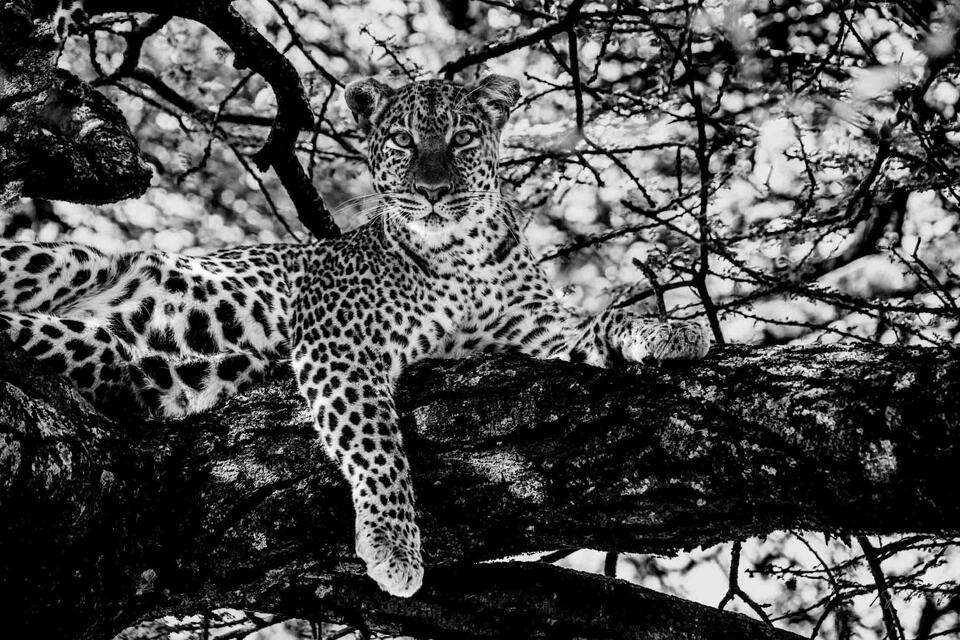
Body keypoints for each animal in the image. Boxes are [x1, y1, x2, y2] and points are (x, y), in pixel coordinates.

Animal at [9, 3, 713, 597]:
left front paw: (670, 331)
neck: (457, 252)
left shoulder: (537, 333)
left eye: (461, 140)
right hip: (74, 261)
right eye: (402, 141)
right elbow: (378, 445)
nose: (432, 192)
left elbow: (600, 323)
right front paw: (394, 547)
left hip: (121, 356)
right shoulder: (338, 343)